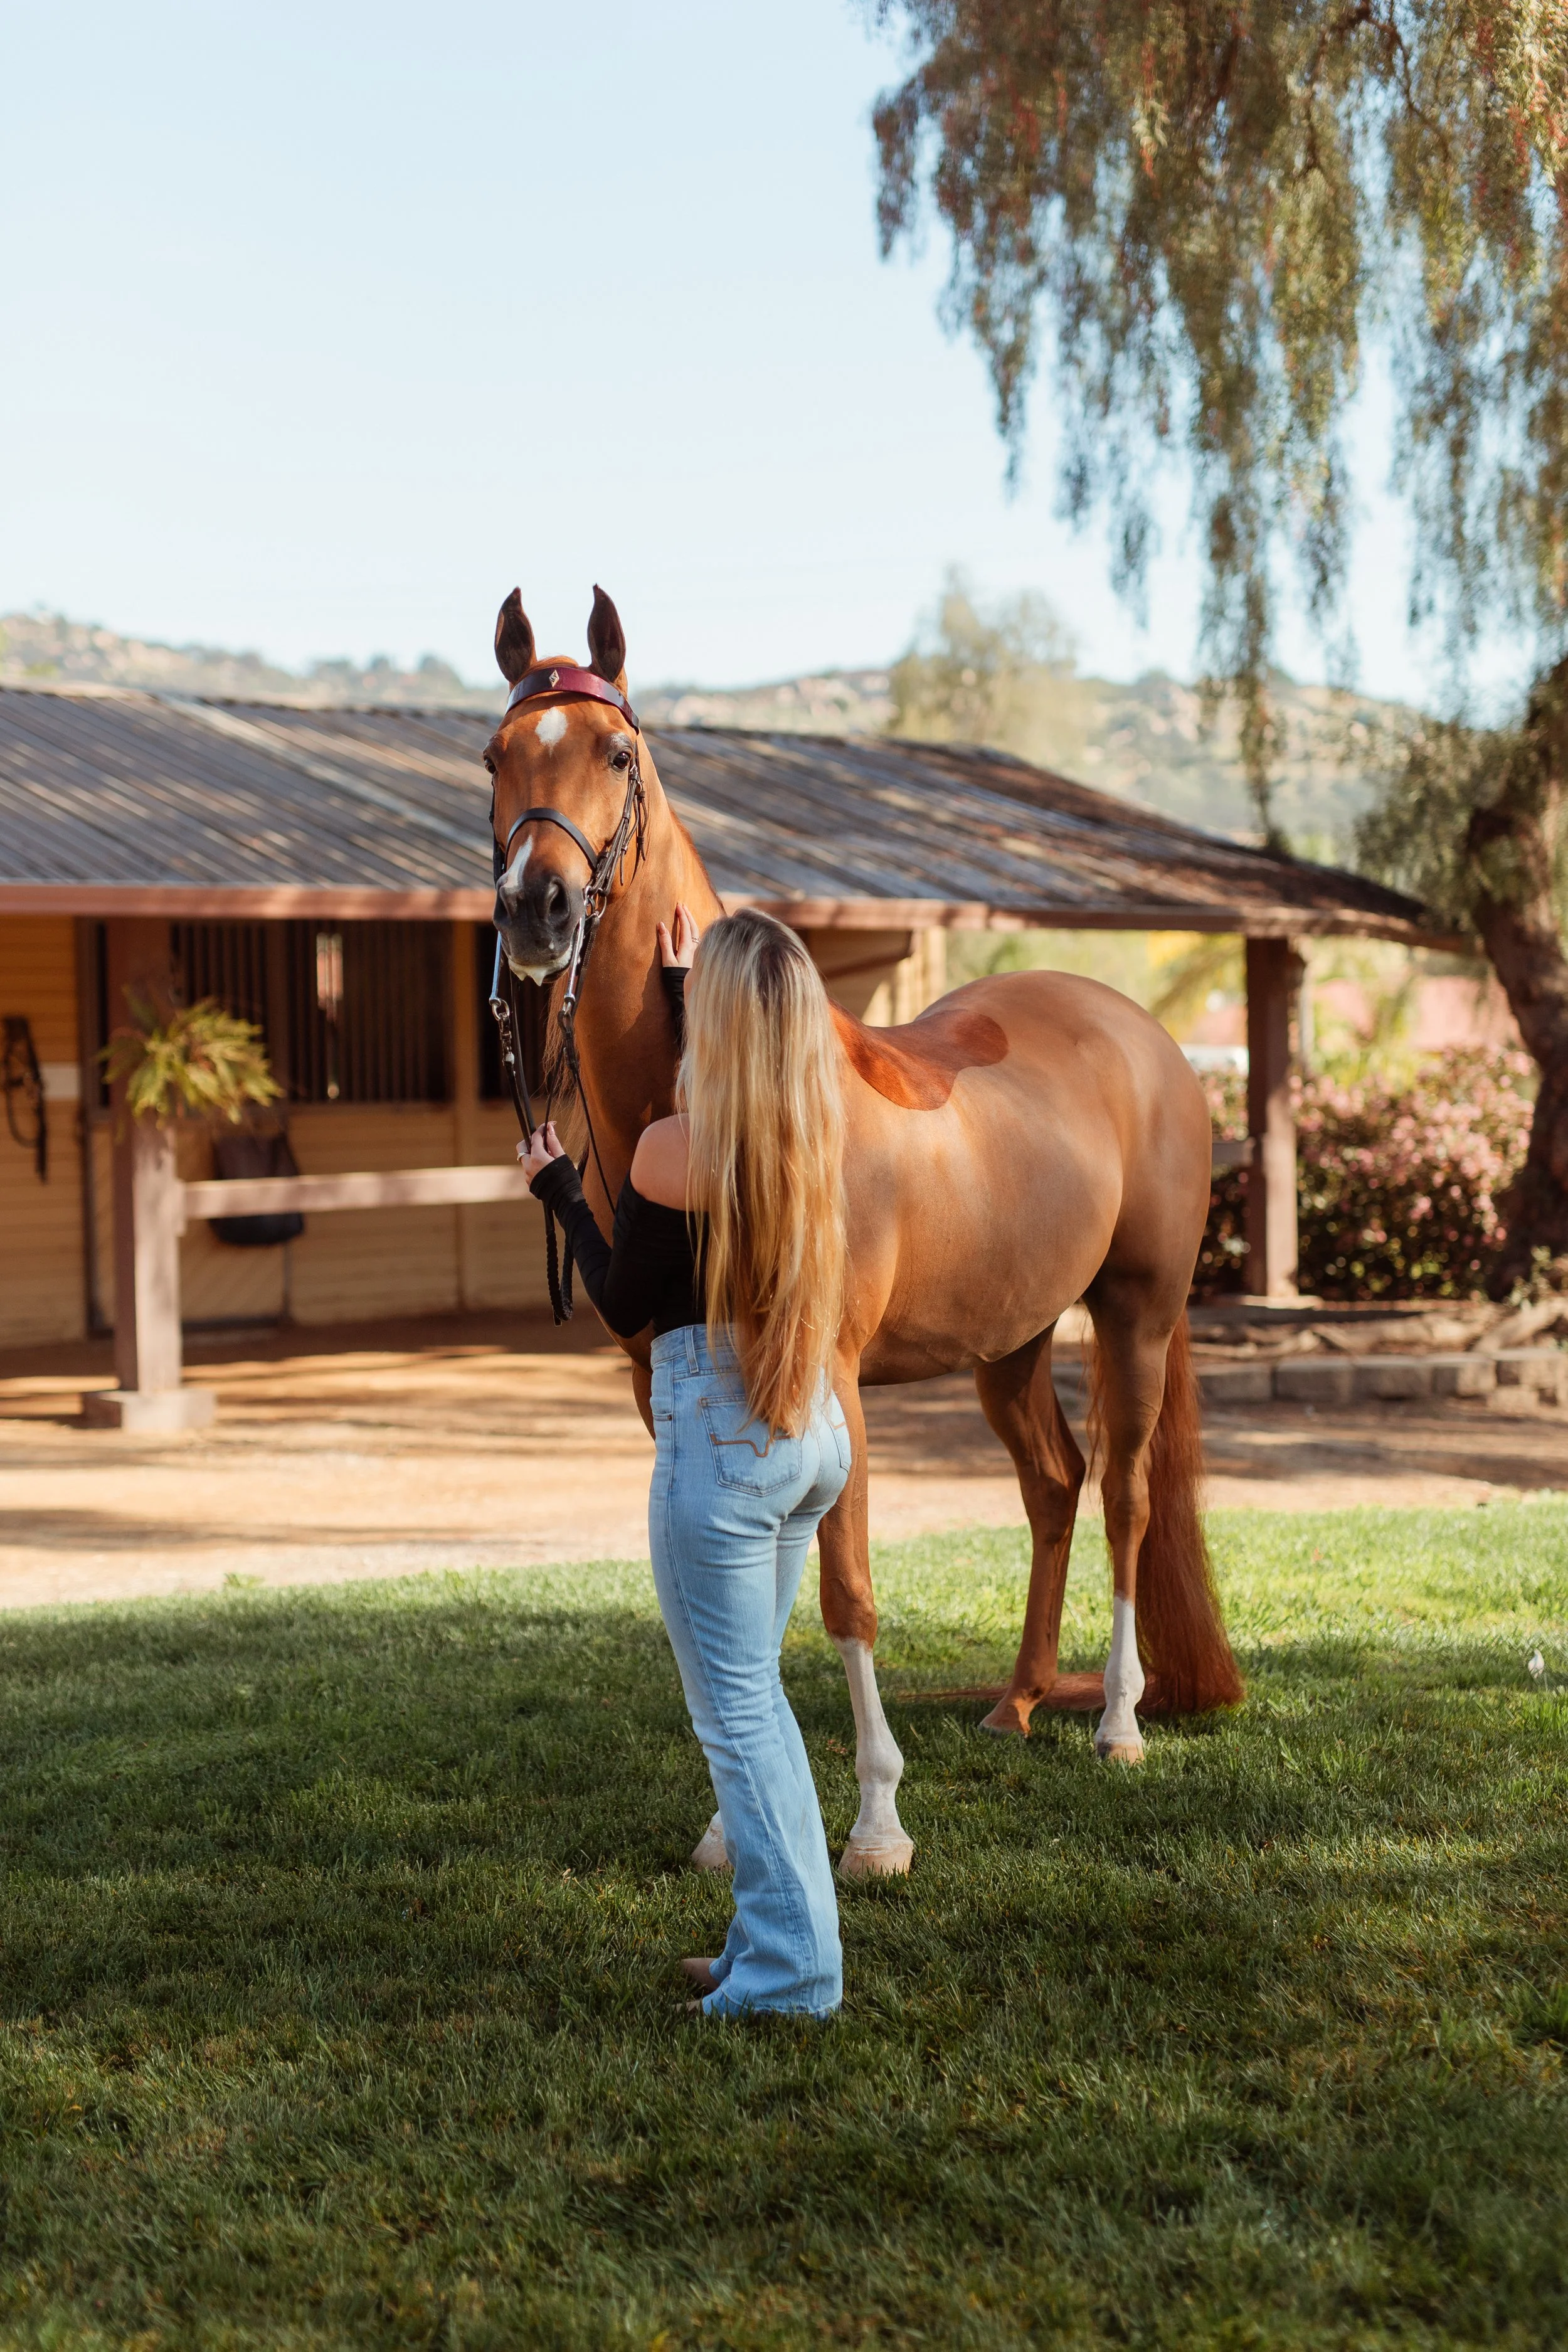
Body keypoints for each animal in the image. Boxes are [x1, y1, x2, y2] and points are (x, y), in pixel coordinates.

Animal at [485, 585, 1244, 1877]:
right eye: (496, 755)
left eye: (619, 753)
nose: (537, 910)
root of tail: (1139, 1034)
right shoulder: (670, 1388)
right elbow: (734, 1597)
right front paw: (730, 1828)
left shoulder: (825, 1380)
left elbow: (846, 1592)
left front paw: (879, 1822)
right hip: (1009, 1345)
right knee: (1055, 1487)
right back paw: (1017, 1702)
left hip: (1136, 1318)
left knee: (1127, 1497)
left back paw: (1120, 1723)